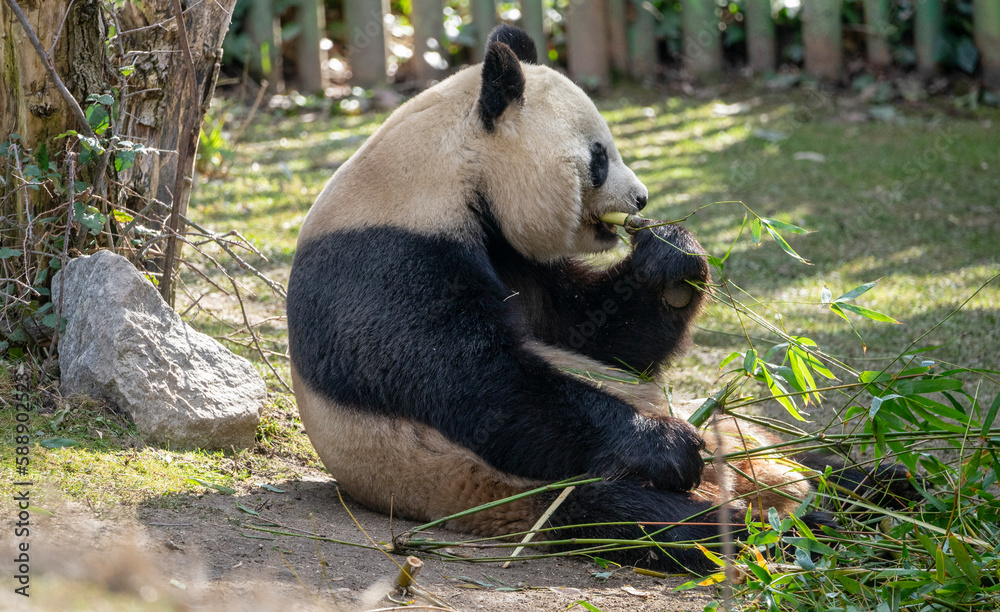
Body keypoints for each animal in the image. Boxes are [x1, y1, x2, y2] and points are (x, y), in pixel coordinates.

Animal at [287, 25, 911, 573]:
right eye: (600, 157)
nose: (640, 200)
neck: (450, 172)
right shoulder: (388, 257)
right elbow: (474, 380)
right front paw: (665, 447)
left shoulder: (516, 255)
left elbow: (598, 336)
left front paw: (671, 258)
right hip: (531, 493)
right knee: (660, 521)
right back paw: (814, 528)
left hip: (742, 436)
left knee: (812, 460)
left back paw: (889, 489)